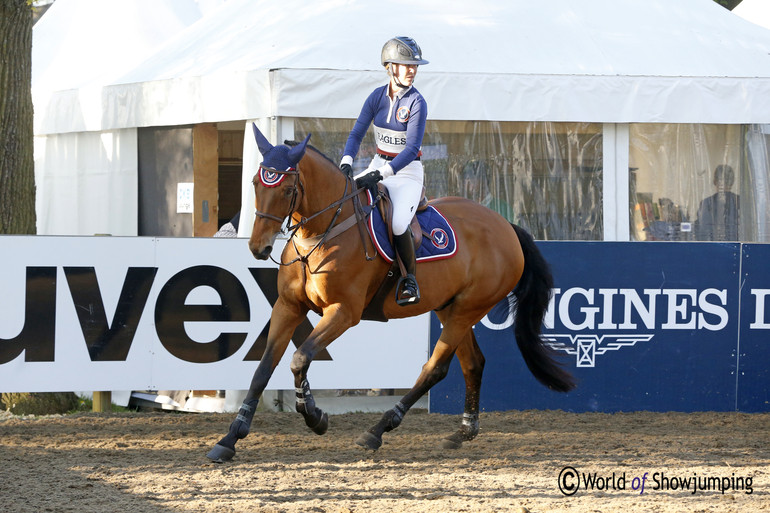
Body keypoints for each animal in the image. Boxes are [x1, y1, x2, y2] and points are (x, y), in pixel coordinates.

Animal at [204, 125, 568, 464]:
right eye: (255, 183)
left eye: (288, 188)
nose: (258, 248)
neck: (323, 231)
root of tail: (507, 227)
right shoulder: (288, 306)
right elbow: (263, 369)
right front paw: (230, 439)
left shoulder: (343, 312)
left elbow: (300, 358)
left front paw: (315, 416)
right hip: (450, 308)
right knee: (473, 363)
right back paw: (463, 431)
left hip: (467, 309)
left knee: (435, 368)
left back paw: (378, 430)